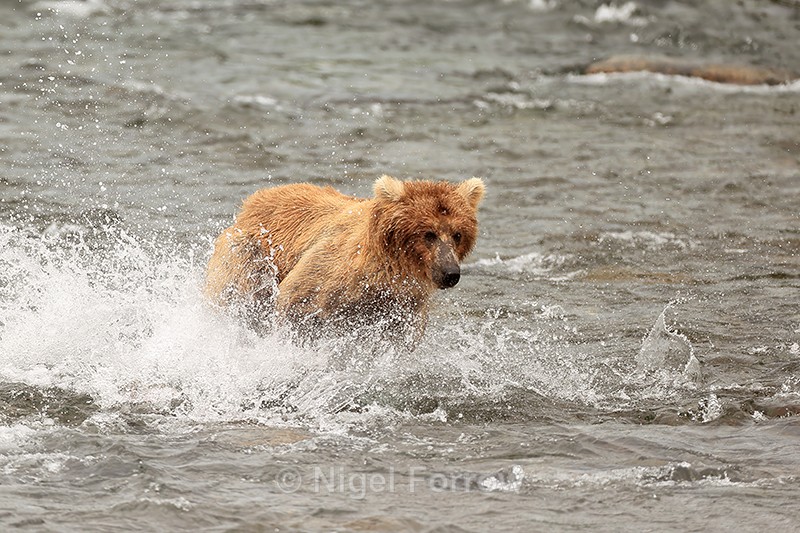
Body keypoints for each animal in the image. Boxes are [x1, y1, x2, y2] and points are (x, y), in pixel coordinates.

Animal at [205, 175, 485, 346]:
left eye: (457, 234)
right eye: (428, 234)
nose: (450, 273)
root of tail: (252, 201)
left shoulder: (403, 305)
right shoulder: (329, 273)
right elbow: (297, 301)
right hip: (250, 256)